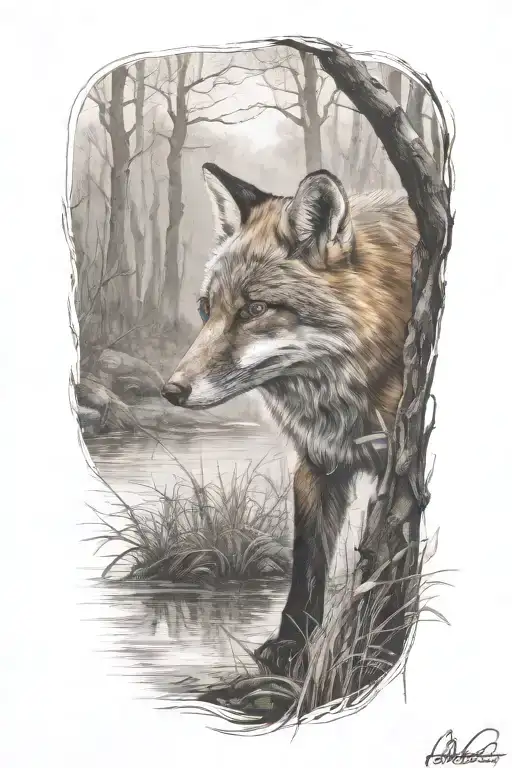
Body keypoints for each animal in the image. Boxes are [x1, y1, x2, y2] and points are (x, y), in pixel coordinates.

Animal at [162, 161, 419, 671]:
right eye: (206, 309)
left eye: (255, 309)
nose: (172, 391)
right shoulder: (315, 463)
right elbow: (307, 561)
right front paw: (292, 642)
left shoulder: (401, 467)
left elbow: (391, 559)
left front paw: (379, 643)